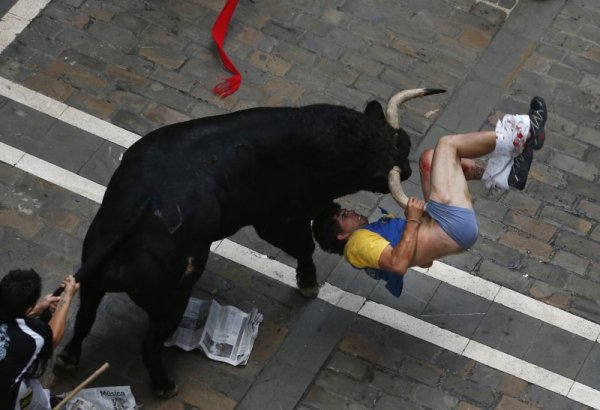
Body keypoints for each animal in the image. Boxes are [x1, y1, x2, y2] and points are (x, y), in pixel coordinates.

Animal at [54, 87, 442, 398]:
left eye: (404, 142)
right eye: (394, 158)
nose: (409, 170)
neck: (316, 141)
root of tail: (138, 211)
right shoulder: (276, 219)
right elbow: (303, 246)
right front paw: (308, 283)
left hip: (93, 278)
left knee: (84, 316)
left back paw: (68, 360)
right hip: (172, 300)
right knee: (149, 344)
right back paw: (164, 385)